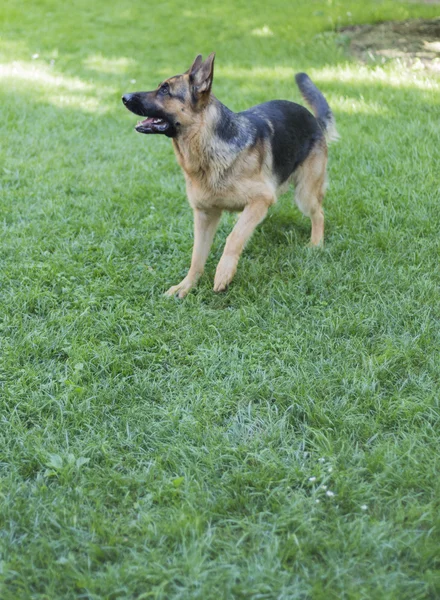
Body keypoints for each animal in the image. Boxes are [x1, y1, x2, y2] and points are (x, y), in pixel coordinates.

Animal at [122, 54, 338, 298]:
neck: (206, 144)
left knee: (319, 214)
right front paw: (186, 285)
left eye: (165, 90)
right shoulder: (204, 215)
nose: (124, 97)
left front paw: (223, 272)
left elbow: (233, 238)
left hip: (304, 194)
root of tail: (313, 119)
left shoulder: (262, 199)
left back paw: (316, 244)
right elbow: (197, 256)